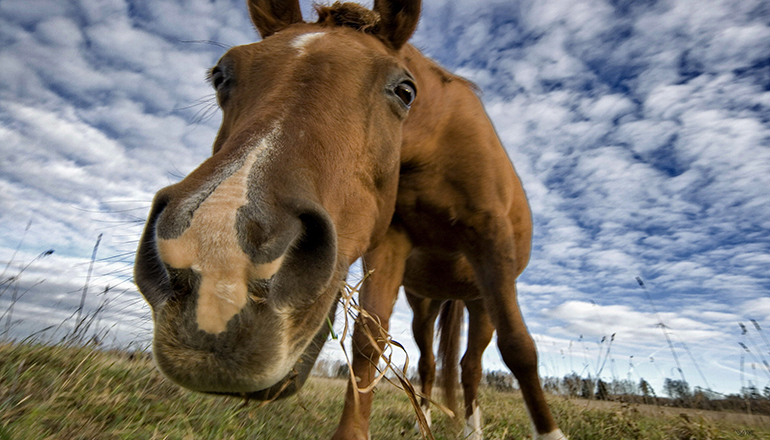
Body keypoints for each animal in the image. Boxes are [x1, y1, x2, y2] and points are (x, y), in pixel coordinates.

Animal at [132, 0, 564, 440]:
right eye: (221, 75)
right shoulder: (390, 242)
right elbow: (368, 341)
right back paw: (422, 418)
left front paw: (550, 433)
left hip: (480, 300)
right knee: (429, 362)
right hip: (425, 303)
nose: (220, 268)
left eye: (405, 91)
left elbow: (519, 347)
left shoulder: (491, 240)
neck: (436, 142)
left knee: (471, 365)